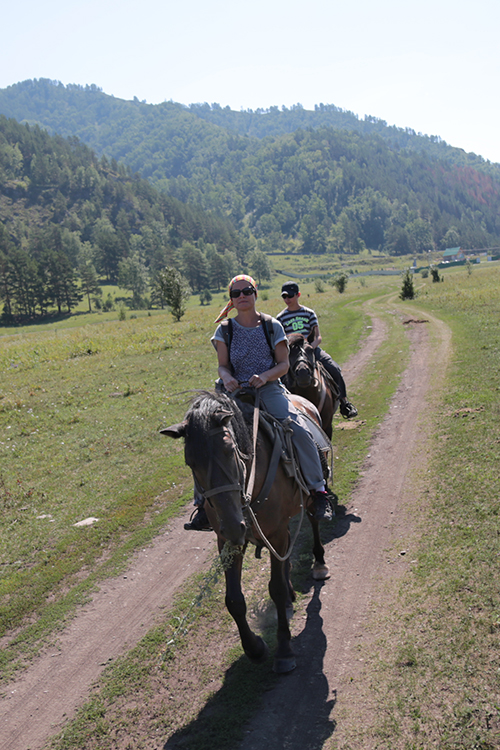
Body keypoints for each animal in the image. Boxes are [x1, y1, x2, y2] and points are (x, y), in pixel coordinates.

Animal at [162, 394, 330, 676]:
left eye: (230, 451)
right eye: (190, 463)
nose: (233, 525)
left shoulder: (274, 534)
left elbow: (275, 589)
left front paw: (284, 651)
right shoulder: (228, 542)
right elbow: (234, 600)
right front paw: (255, 648)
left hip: (306, 502)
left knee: (314, 523)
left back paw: (319, 563)